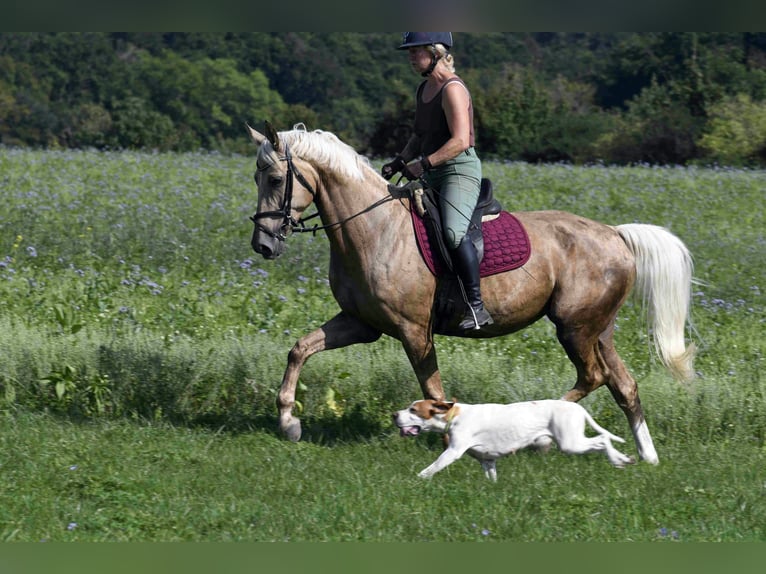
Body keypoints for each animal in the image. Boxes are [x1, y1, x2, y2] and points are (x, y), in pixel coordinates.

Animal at [246, 124, 696, 466]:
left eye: (275, 179)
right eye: (256, 178)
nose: (263, 245)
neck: (375, 228)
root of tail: (616, 234)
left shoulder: (414, 331)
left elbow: (433, 390)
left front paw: (443, 433)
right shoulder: (360, 324)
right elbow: (299, 350)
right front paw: (289, 423)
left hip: (574, 328)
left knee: (593, 377)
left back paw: (542, 436)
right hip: (598, 329)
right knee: (624, 386)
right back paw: (647, 456)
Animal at [392, 400, 640, 482]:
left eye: (413, 410)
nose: (394, 415)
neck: (454, 416)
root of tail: (577, 407)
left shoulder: (453, 452)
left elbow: (432, 467)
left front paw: (417, 479)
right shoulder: (487, 461)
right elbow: (491, 478)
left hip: (570, 443)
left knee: (602, 439)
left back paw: (618, 460)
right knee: (603, 439)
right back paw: (623, 459)